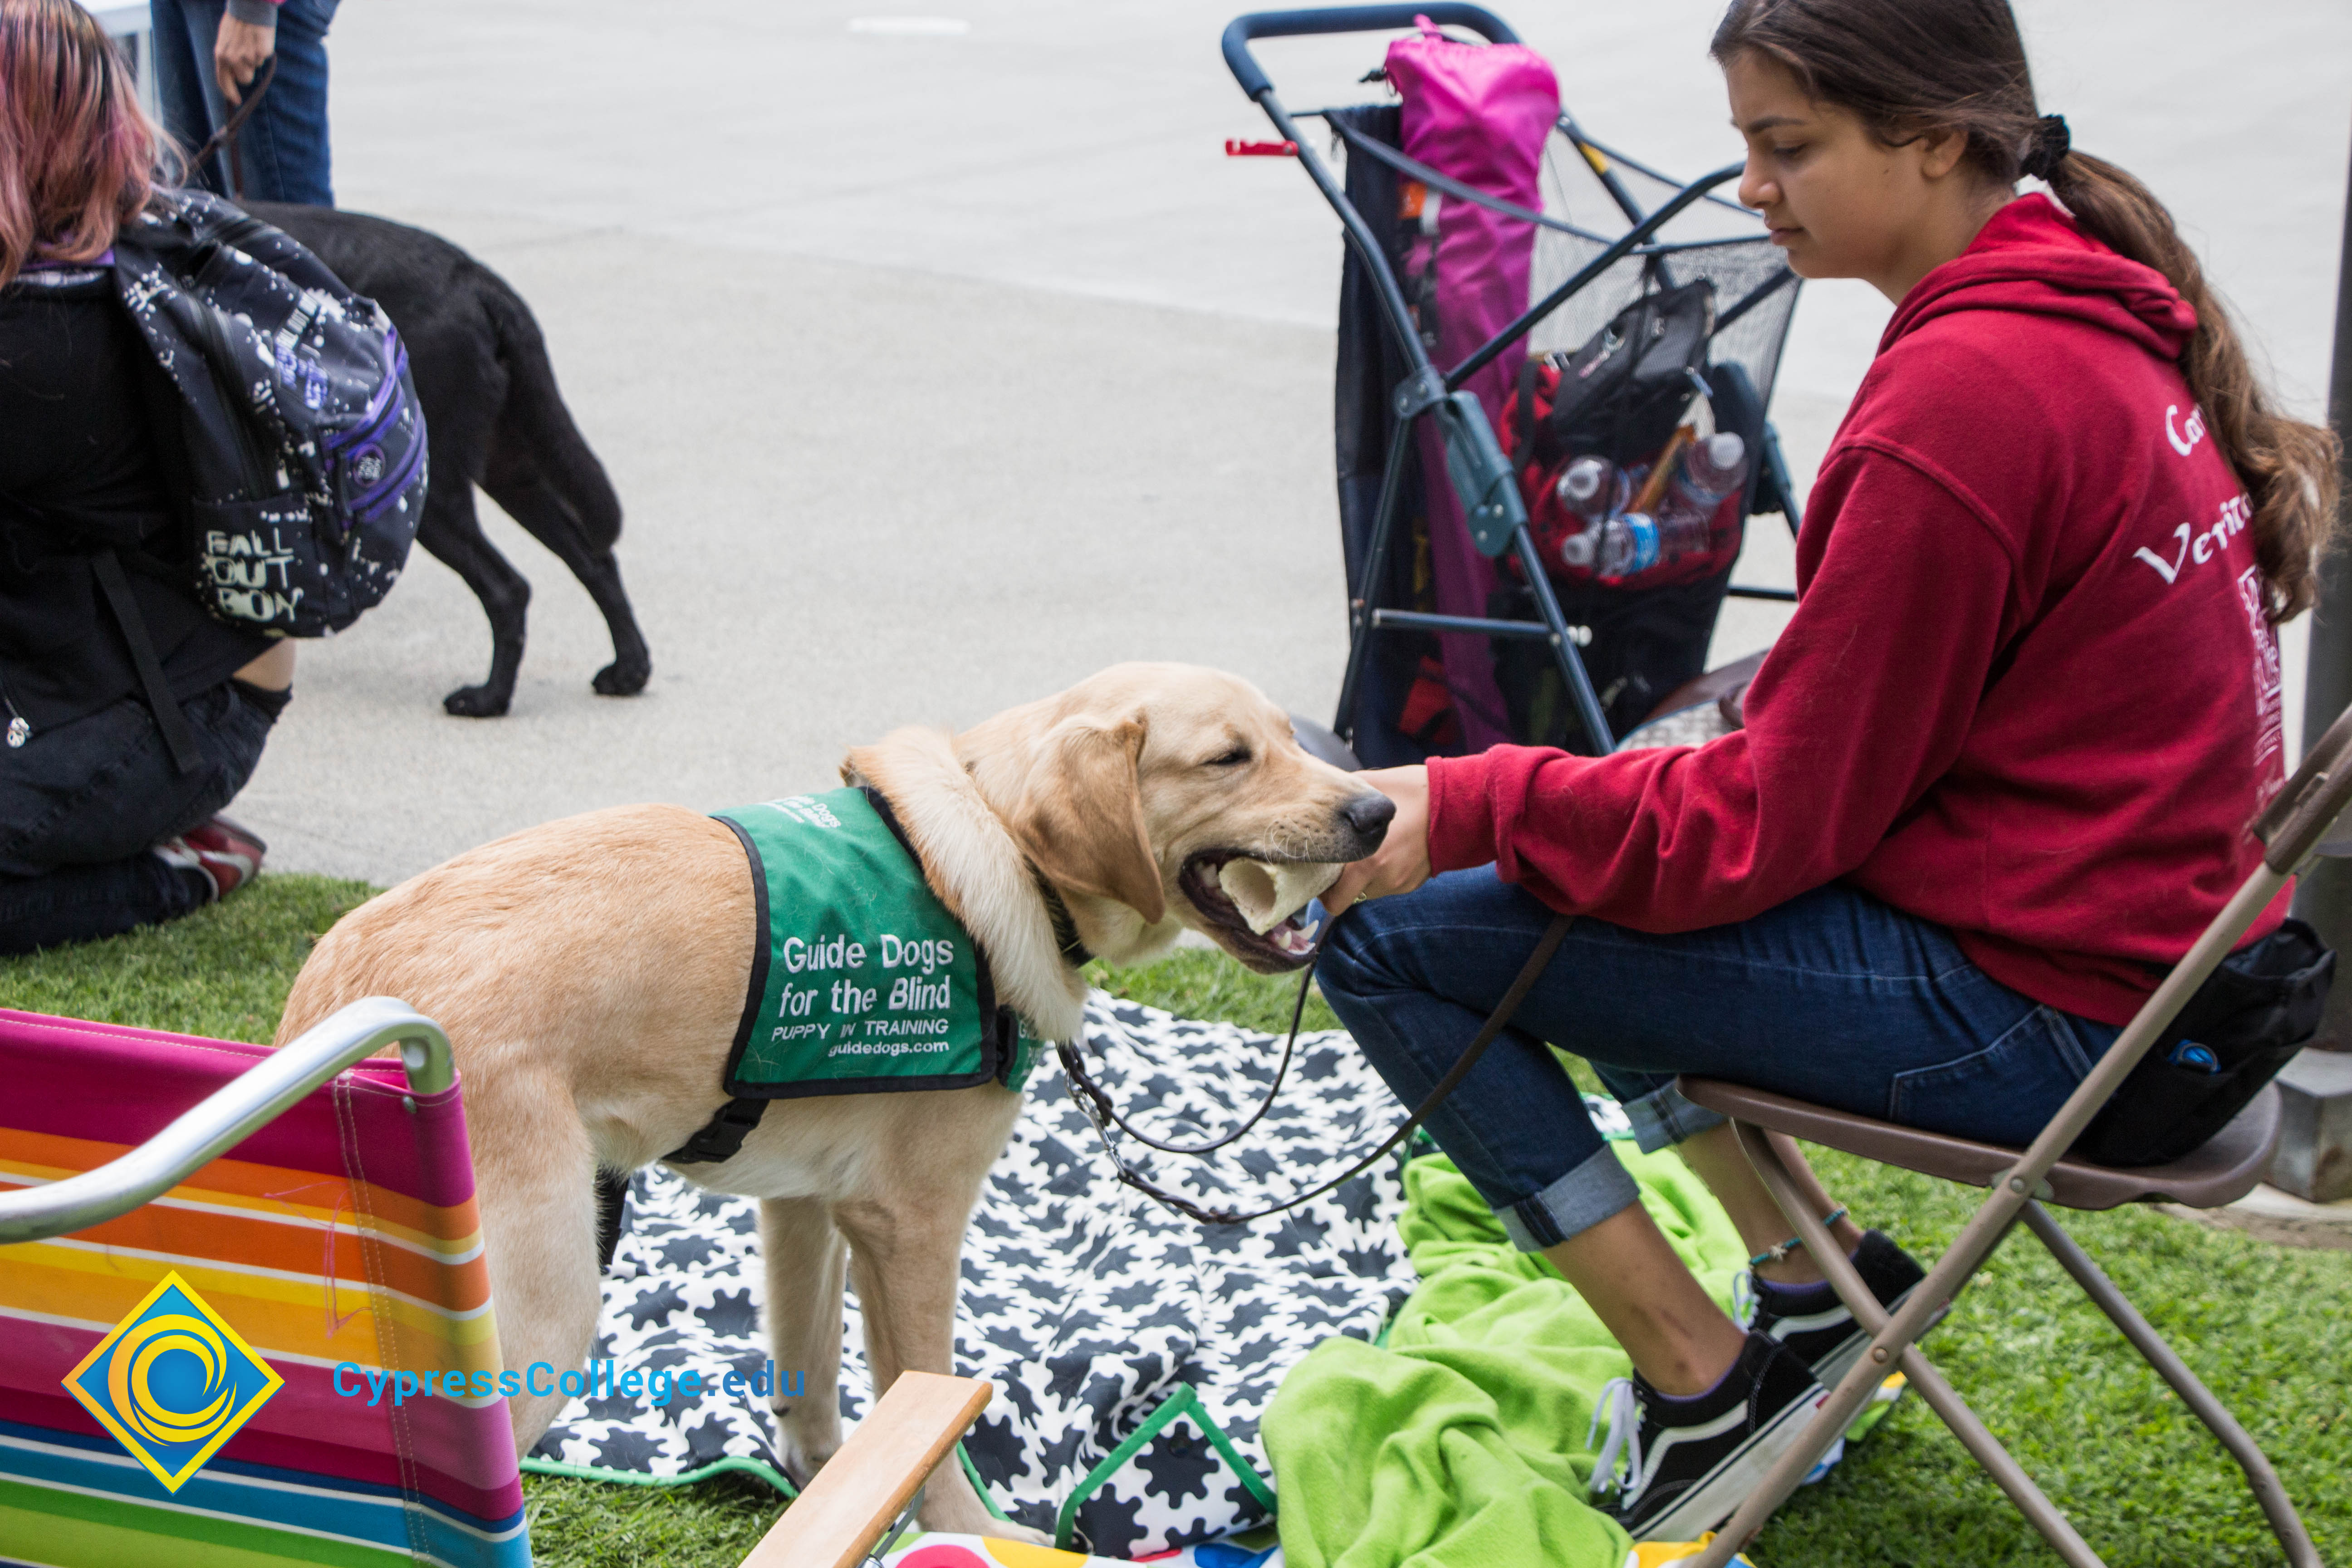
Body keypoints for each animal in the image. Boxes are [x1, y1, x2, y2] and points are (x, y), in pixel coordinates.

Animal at [246, 202, 653, 717]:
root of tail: (481, 285)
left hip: (427, 487)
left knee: (508, 588)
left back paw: (488, 699)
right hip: (512, 467)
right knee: (593, 559)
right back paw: (629, 671)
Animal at [275, 663, 1395, 1540]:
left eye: (1291, 737)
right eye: (1227, 759)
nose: (1378, 813)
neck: (1005, 849)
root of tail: (340, 987)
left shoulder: (804, 1207)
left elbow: (811, 1380)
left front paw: (832, 1491)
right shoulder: (911, 1224)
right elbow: (928, 1404)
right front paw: (961, 1528)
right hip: (540, 1312)